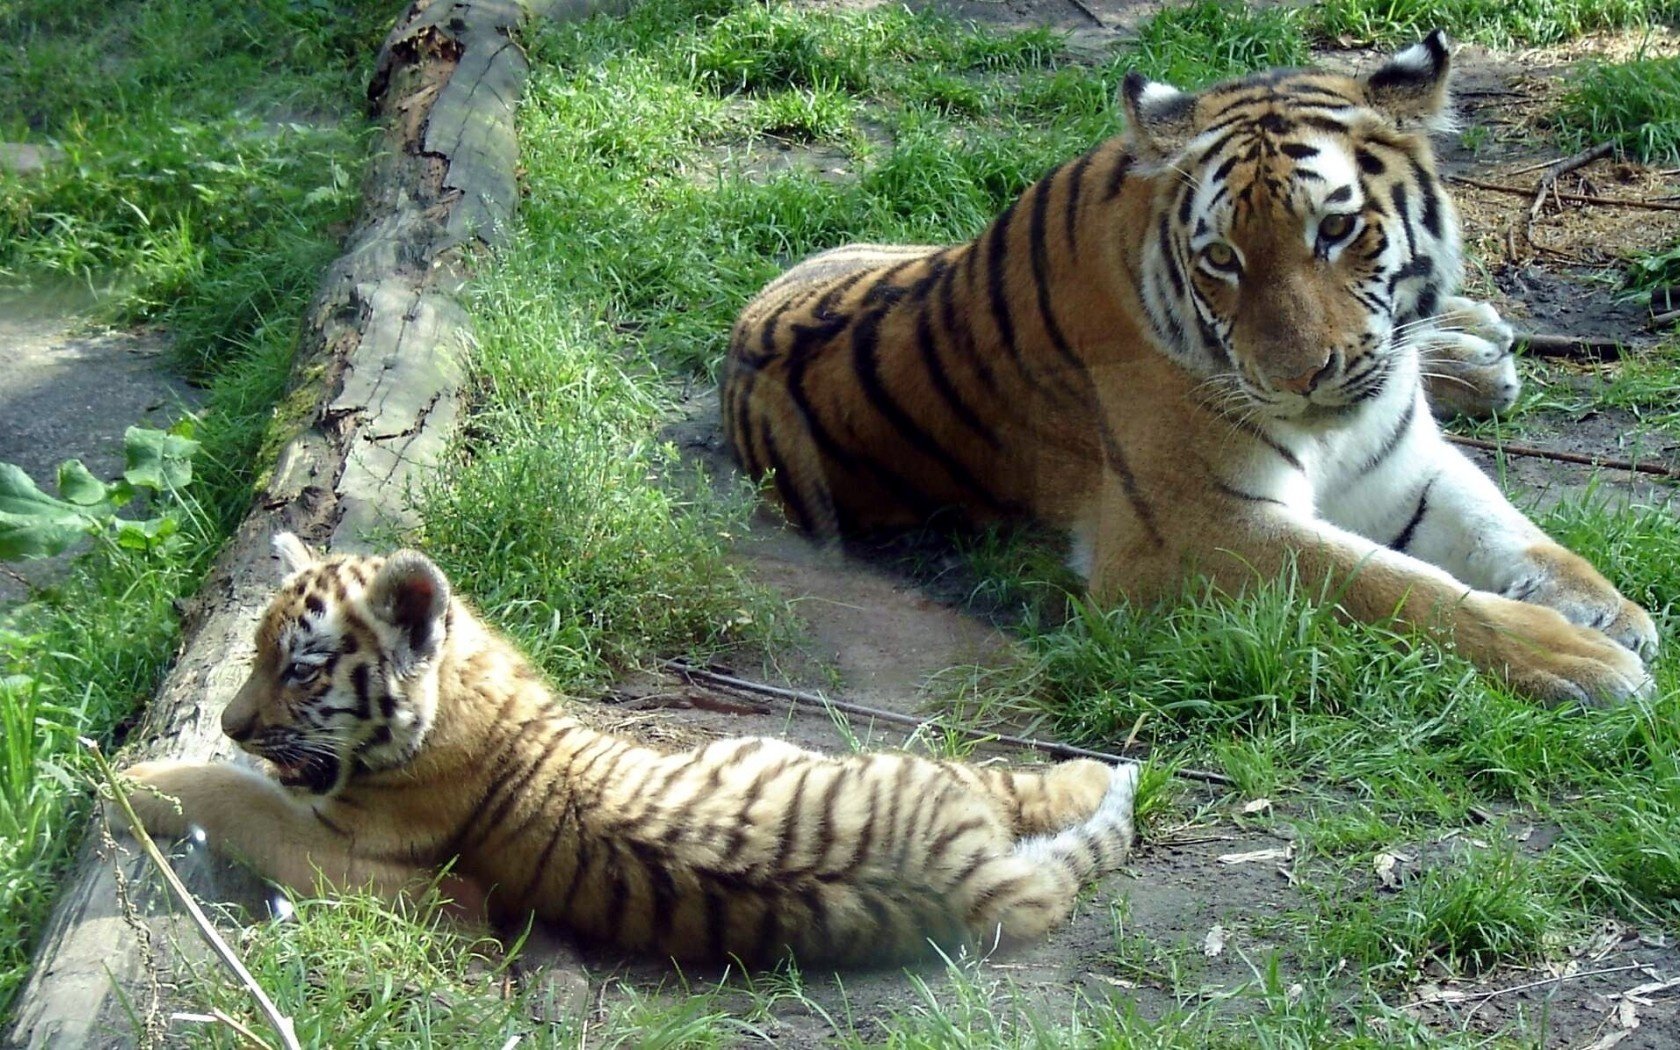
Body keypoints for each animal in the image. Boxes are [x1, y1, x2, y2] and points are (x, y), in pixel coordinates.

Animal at [118, 533, 1138, 968]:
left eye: (298, 668)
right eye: (253, 653)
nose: (232, 723)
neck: (466, 692)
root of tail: (977, 882)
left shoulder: (365, 857)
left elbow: (244, 798)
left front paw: (131, 778)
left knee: (1019, 786)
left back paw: (1109, 771)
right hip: (904, 773)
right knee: (1021, 791)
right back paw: (1105, 772)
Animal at [721, 31, 1657, 705]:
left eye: (1336, 229)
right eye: (1221, 259)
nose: (1295, 378)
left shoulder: (1403, 464)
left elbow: (1505, 526)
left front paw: (1606, 606)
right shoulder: (1190, 532)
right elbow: (1390, 584)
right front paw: (1580, 656)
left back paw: (1473, 343)